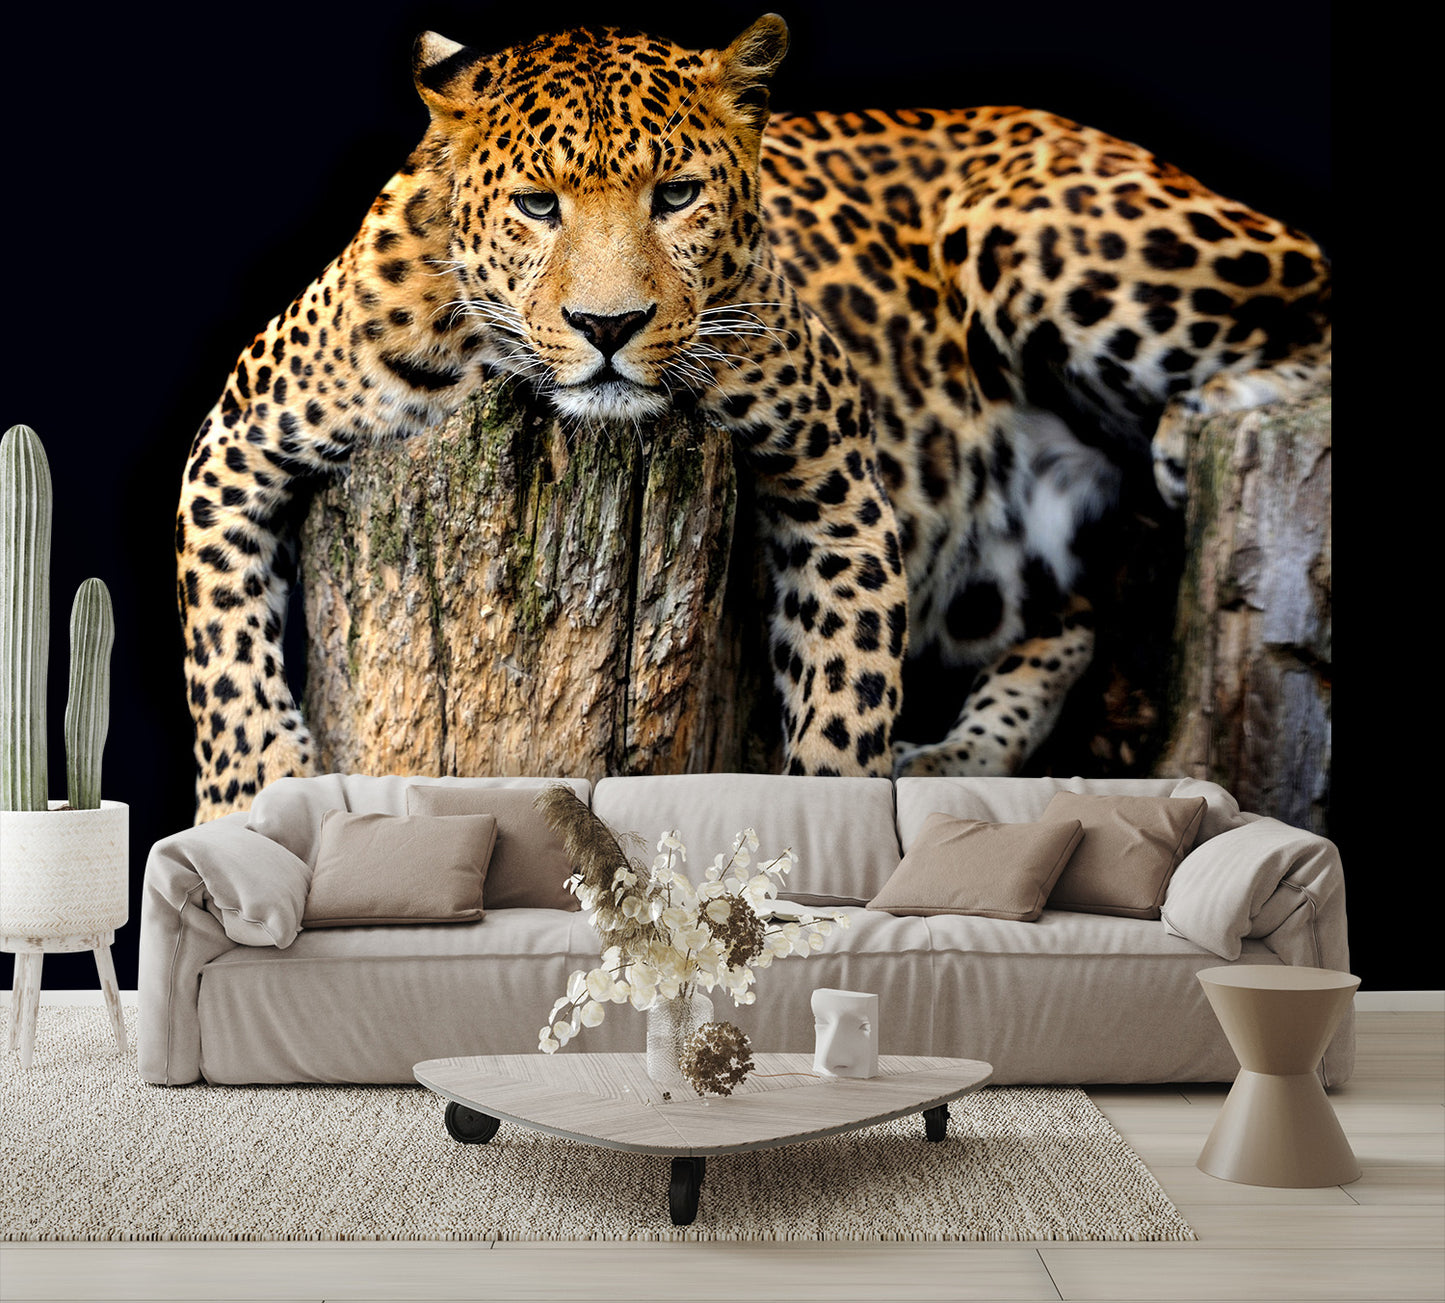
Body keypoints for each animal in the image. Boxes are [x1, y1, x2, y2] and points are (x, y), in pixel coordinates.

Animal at [176, 15, 1330, 822]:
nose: (608, 325)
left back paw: (1196, 422)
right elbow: (222, 653)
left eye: (678, 194)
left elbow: (847, 689)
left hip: (1044, 231)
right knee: (1071, 622)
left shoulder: (836, 479)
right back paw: (952, 756)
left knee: (1313, 294)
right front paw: (249, 804)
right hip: (1002, 571)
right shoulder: (232, 447)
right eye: (538, 205)